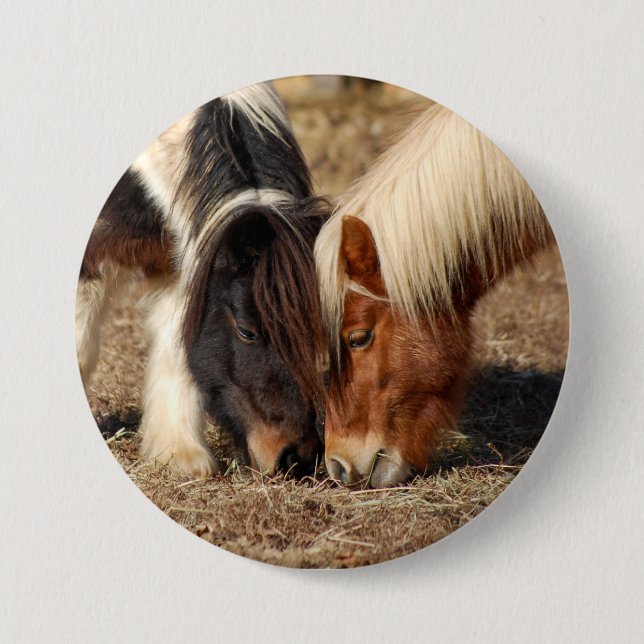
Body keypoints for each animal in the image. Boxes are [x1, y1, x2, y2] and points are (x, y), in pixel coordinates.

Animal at [77, 83, 329, 478]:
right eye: (247, 331)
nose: (295, 459)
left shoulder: (186, 265)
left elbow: (176, 350)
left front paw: (178, 454)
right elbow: (82, 350)